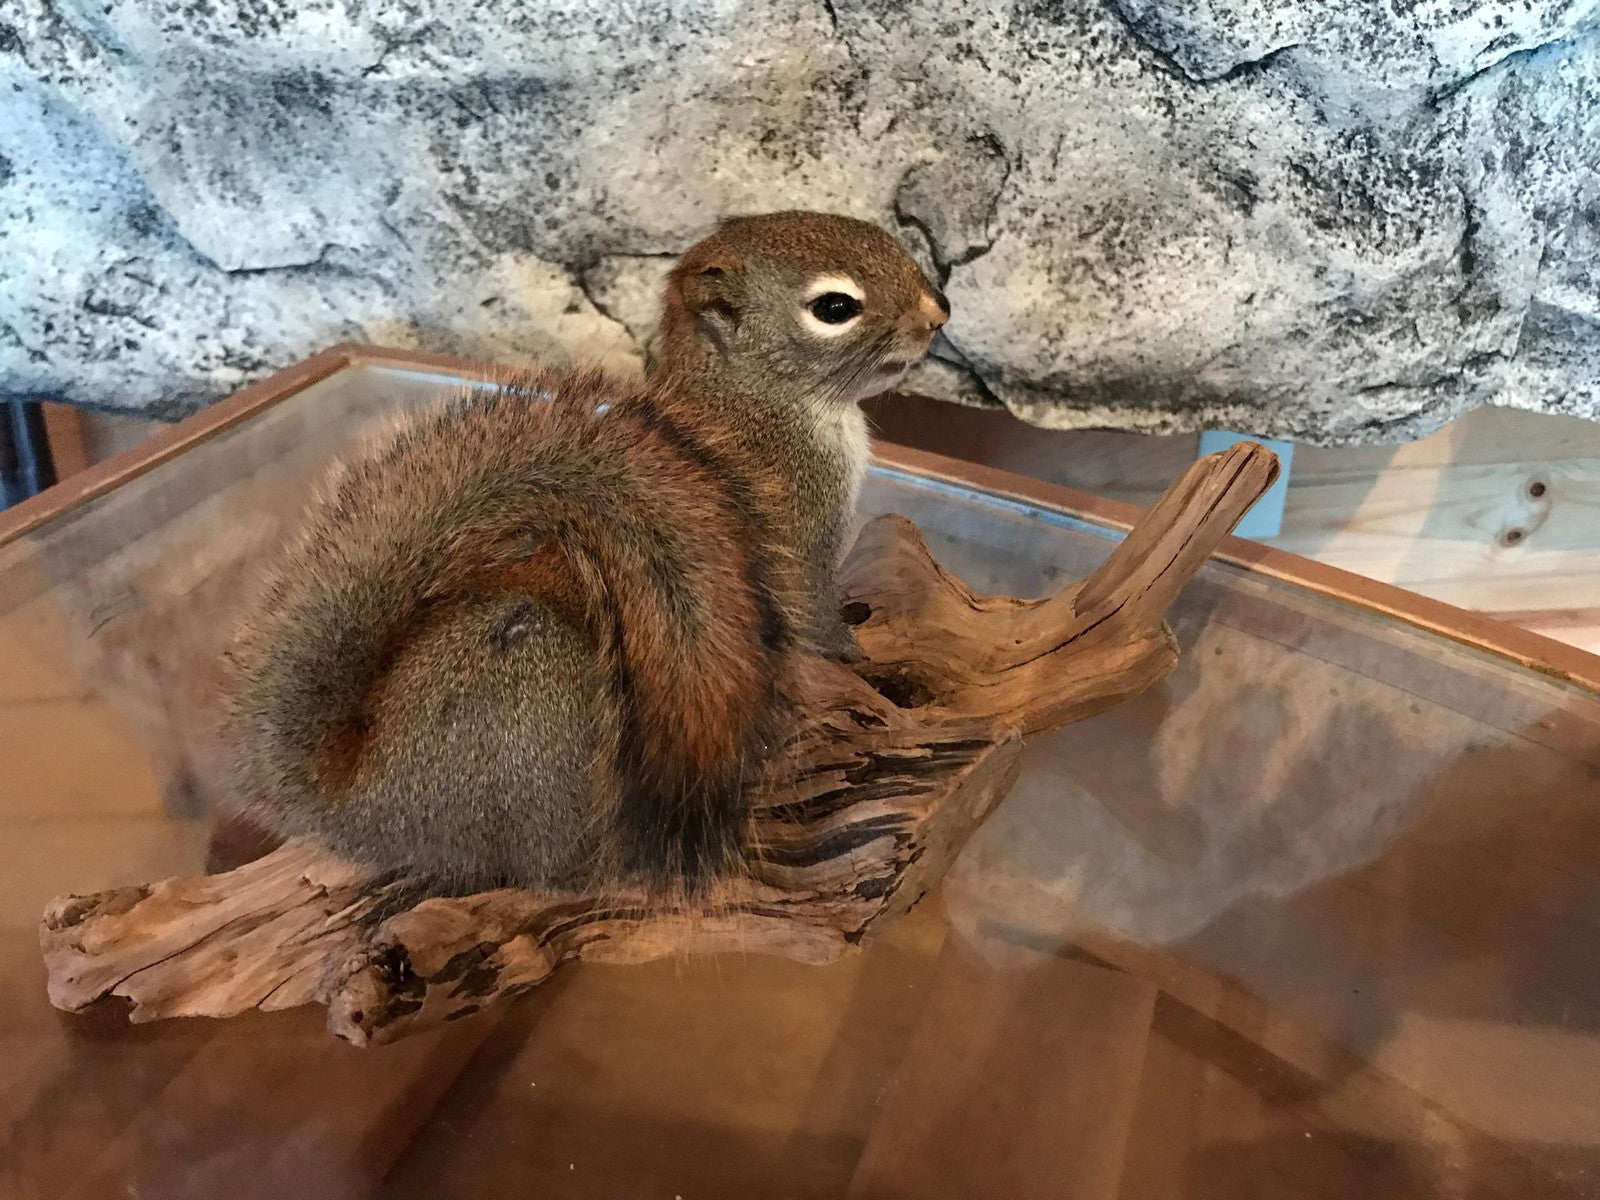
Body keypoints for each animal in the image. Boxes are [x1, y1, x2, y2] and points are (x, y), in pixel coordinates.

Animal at [223, 211, 949, 893]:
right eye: (835, 307)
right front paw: (858, 658)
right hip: (536, 685)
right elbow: (819, 622)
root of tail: (359, 808)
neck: (760, 402)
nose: (939, 313)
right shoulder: (798, 546)